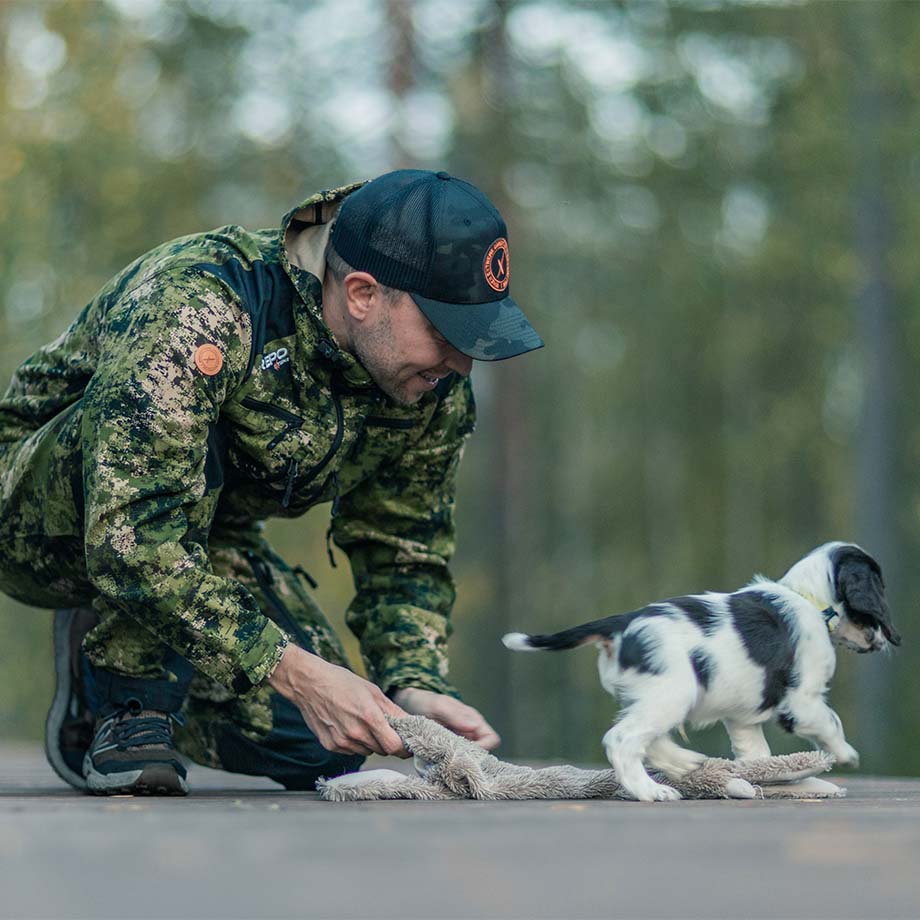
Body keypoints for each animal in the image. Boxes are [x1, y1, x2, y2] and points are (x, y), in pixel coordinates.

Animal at [504, 544, 900, 800]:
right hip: (674, 693)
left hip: (657, 697)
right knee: (621, 739)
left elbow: (758, 754)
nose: (885, 640)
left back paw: (685, 763)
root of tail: (622, 623)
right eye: (881, 585)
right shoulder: (802, 701)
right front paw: (846, 754)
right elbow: (831, 722)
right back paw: (651, 791)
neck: (807, 598)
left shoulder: (743, 719)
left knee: (649, 739)